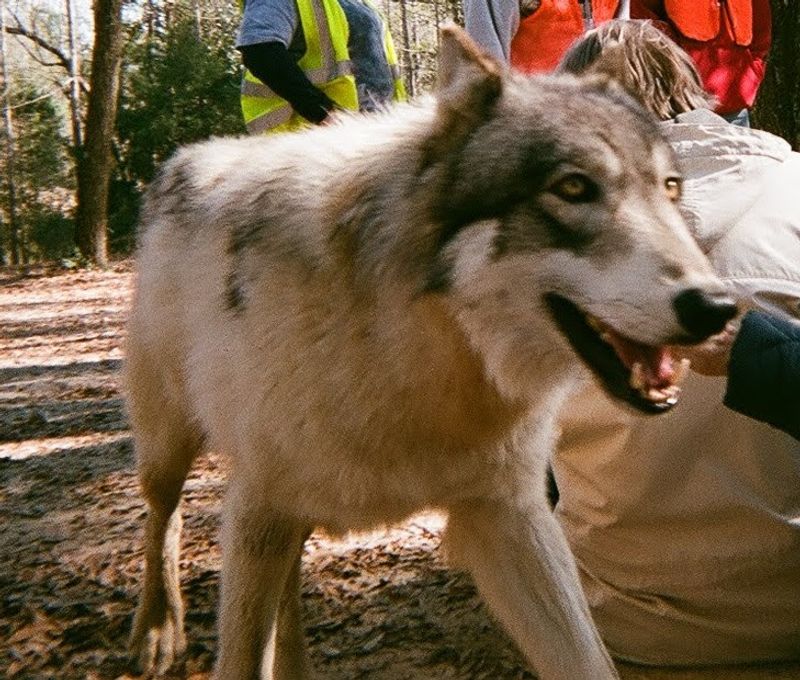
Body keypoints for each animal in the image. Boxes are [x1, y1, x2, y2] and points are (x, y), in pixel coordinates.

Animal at [126, 25, 737, 680]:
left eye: (670, 188)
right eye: (573, 188)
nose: (719, 307)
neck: (417, 357)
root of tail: (180, 160)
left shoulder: (509, 517)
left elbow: (586, 660)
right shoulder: (258, 510)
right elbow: (239, 652)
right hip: (173, 449)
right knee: (163, 515)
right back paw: (157, 630)